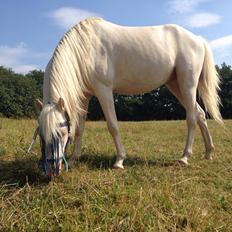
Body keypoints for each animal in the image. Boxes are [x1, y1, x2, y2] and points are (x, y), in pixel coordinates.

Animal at [35, 17, 222, 176]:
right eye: (41, 135)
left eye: (61, 132)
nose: (51, 171)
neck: (84, 48)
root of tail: (198, 39)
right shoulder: (84, 96)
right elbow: (79, 128)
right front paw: (74, 159)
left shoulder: (103, 90)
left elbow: (112, 125)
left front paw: (119, 161)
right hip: (176, 85)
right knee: (200, 114)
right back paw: (209, 152)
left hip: (187, 84)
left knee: (191, 118)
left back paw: (184, 157)